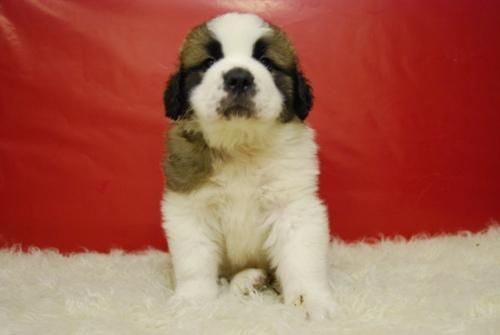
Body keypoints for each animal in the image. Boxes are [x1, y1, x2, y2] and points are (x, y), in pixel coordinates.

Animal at [162, 12, 336, 320]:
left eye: (266, 61)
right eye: (208, 62)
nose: (239, 77)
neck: (241, 145)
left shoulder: (293, 205)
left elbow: (302, 257)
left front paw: (310, 300)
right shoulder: (189, 207)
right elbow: (194, 259)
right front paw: (193, 300)